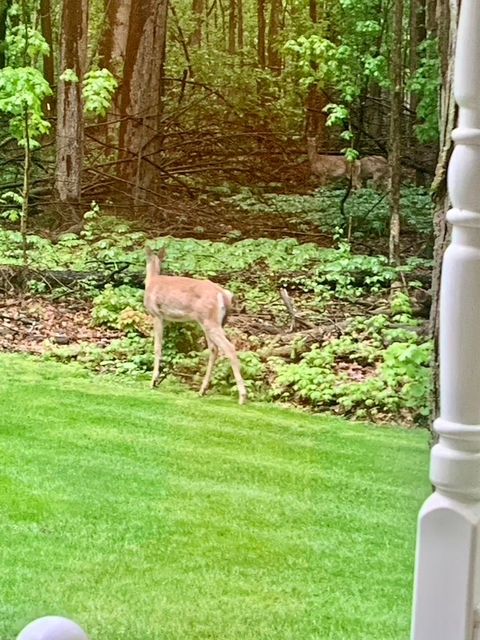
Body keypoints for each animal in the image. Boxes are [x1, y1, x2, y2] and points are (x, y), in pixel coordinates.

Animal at [142, 246, 248, 402]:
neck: (152, 280)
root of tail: (223, 294)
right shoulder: (166, 319)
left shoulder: (156, 314)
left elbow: (157, 347)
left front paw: (153, 381)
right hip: (211, 322)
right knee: (214, 349)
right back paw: (202, 390)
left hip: (210, 321)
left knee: (229, 347)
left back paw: (242, 396)